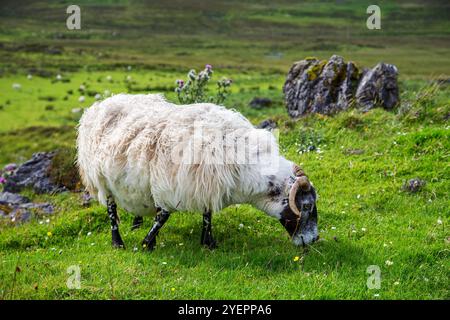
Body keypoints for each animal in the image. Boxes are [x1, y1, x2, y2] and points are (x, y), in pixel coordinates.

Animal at [76, 94, 316, 251]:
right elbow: (163, 215)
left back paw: (136, 223)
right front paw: (147, 243)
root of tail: (102, 103)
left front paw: (208, 243)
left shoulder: (206, 185)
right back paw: (117, 242)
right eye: (306, 206)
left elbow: (207, 214)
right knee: (111, 209)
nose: (313, 240)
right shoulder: (172, 185)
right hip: (100, 179)